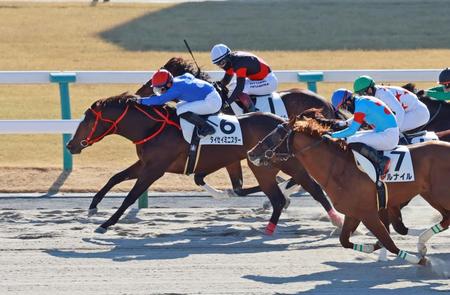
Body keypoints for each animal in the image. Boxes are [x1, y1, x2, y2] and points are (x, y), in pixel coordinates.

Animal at [66, 93, 342, 235]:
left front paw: (107, 223)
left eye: (87, 121)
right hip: (275, 163)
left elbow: (130, 196)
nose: (70, 145)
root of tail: (286, 124)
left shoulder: (154, 169)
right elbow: (115, 178)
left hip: (269, 165)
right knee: (306, 189)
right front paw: (93, 207)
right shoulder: (144, 163)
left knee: (294, 192)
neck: (154, 127)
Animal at [248, 112, 450, 266]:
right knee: (446, 219)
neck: (338, 168)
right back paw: (421, 243)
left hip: (440, 195)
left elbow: (389, 242)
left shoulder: (368, 213)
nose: (251, 153)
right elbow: (345, 240)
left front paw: (419, 260)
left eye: (274, 136)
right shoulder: (353, 213)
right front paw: (369, 247)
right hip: (431, 194)